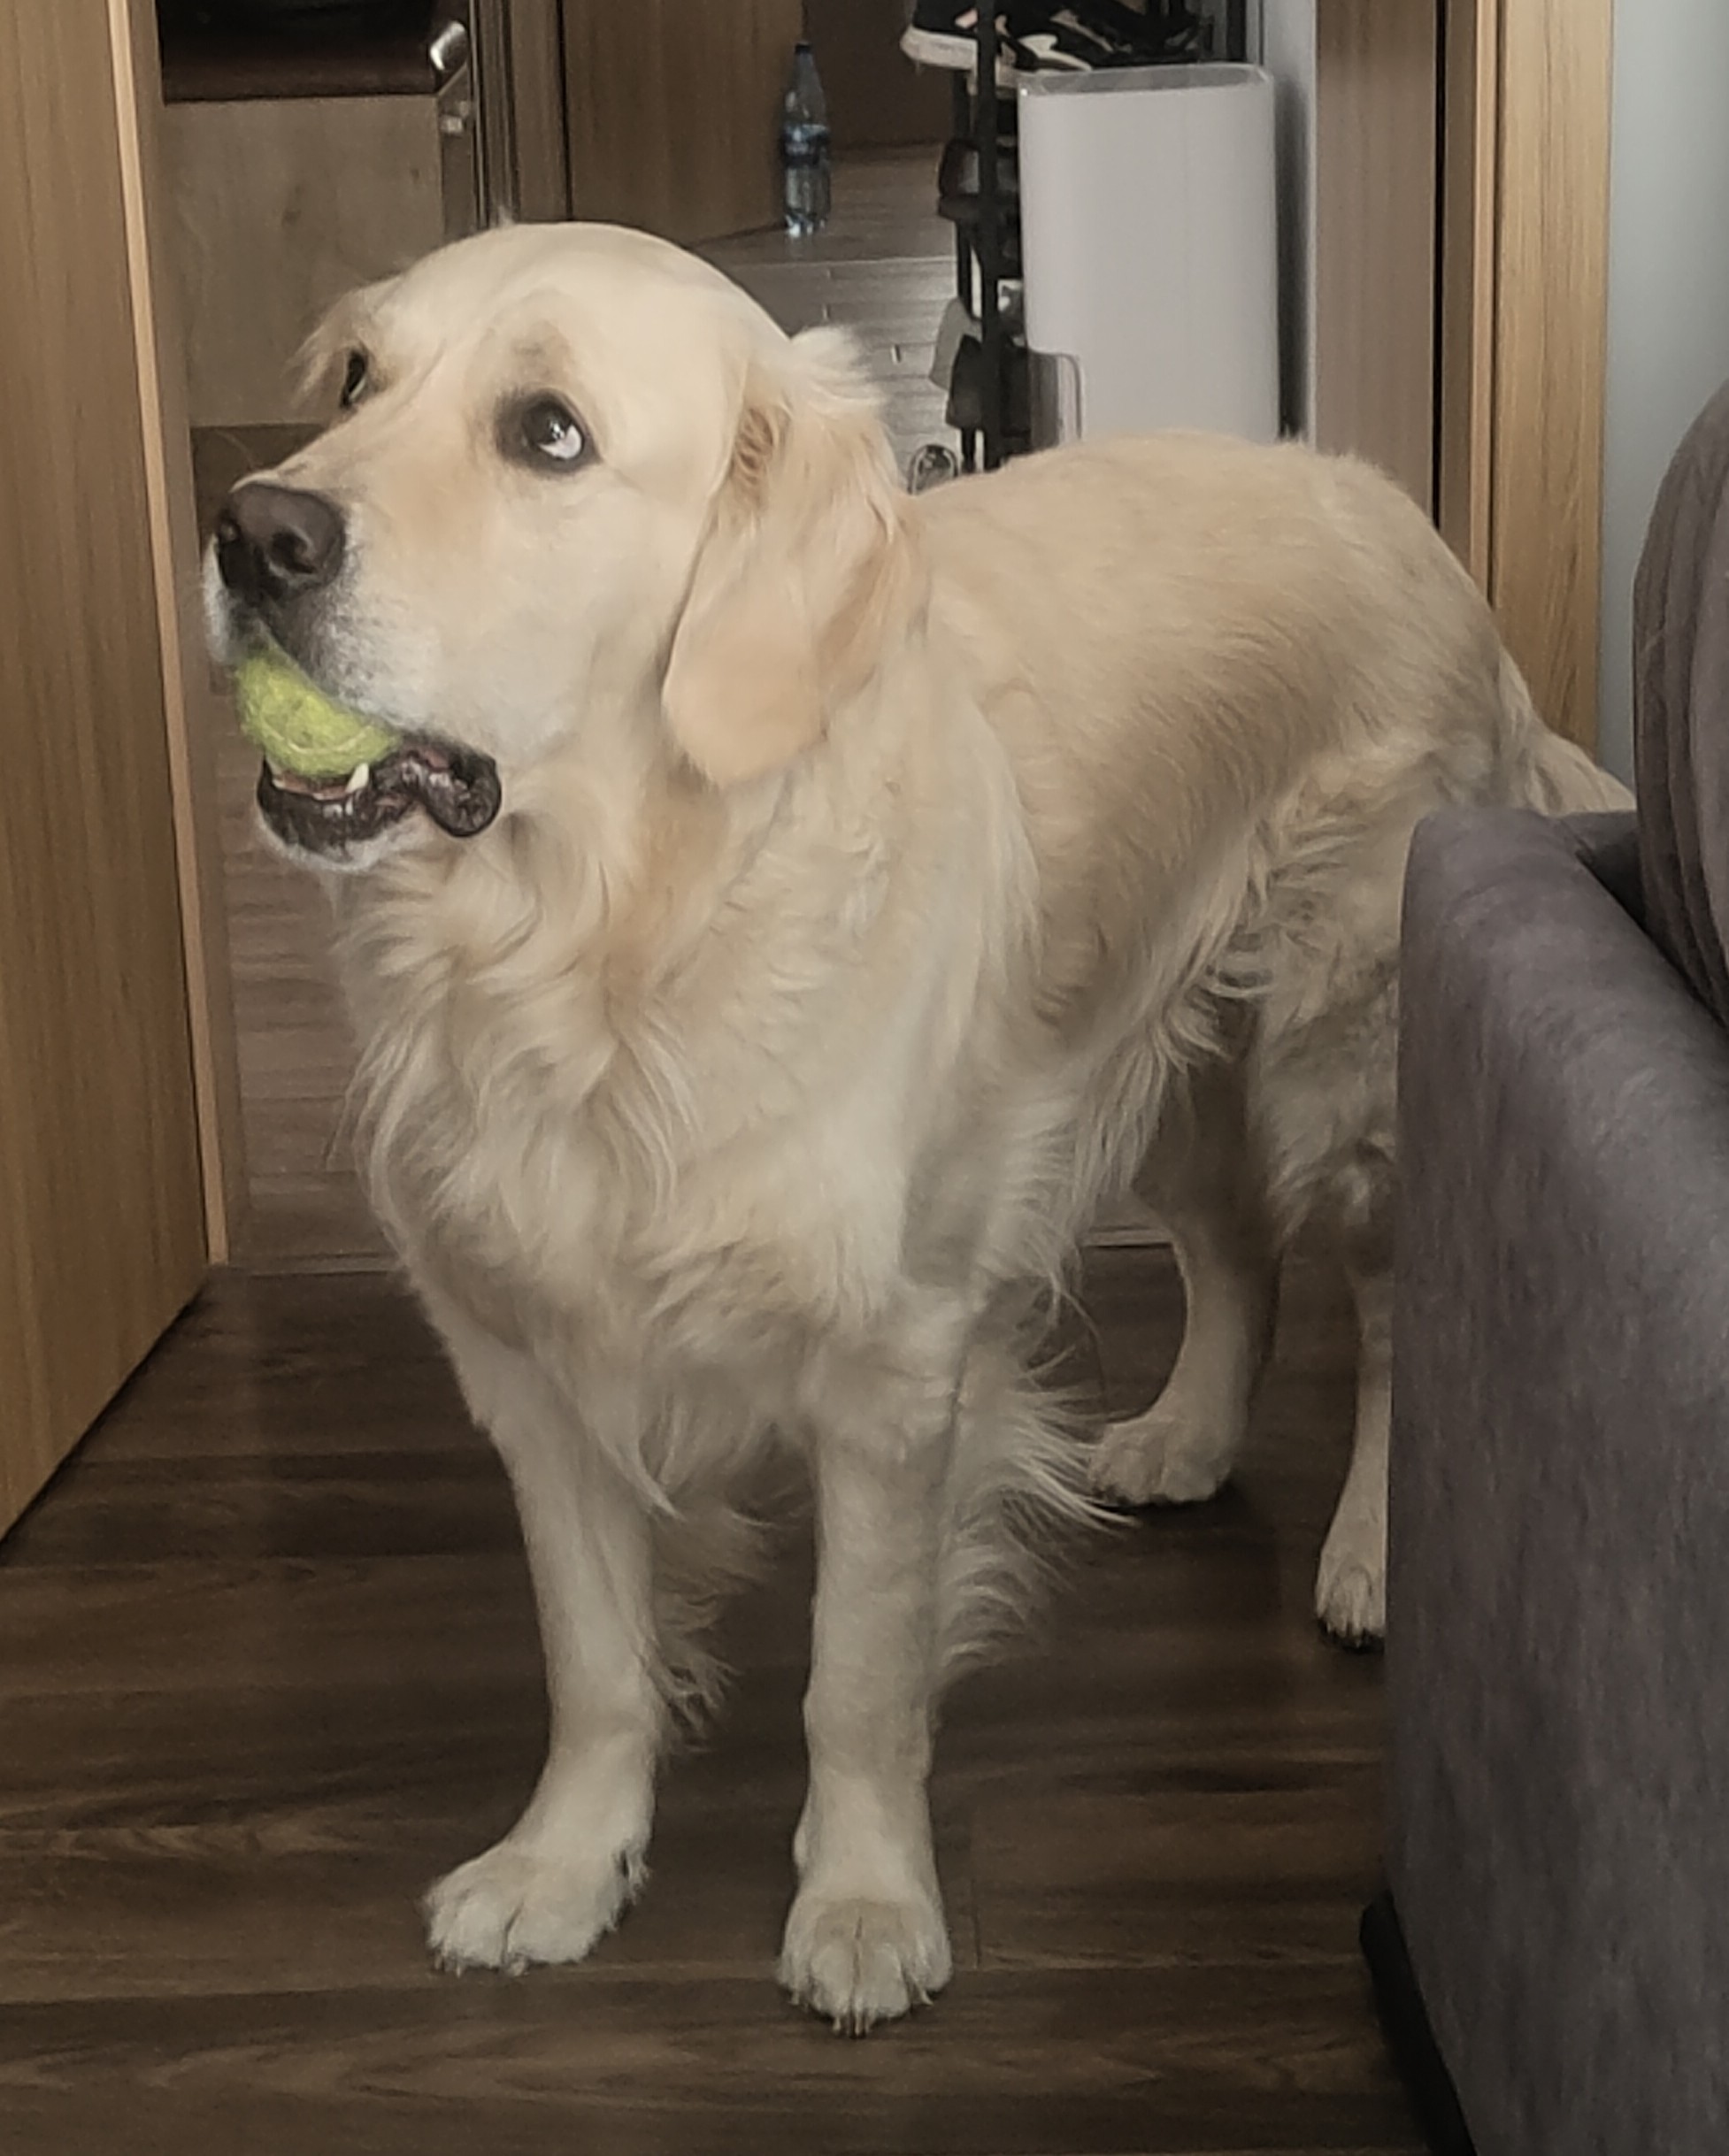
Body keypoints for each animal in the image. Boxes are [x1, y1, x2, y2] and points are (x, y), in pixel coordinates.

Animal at [206, 221, 1627, 2031]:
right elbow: (593, 1662)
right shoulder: (529, 1361)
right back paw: (1184, 1436)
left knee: (1383, 1306)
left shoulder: (887, 1374)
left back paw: (1372, 1551)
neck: (607, 954)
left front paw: (867, 1904)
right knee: (1234, 1247)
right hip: (1135, 1045)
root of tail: (1408, 524)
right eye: (352, 382)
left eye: (547, 433)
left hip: (1338, 1064)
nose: (251, 530)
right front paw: (561, 1863)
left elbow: (857, 1681)